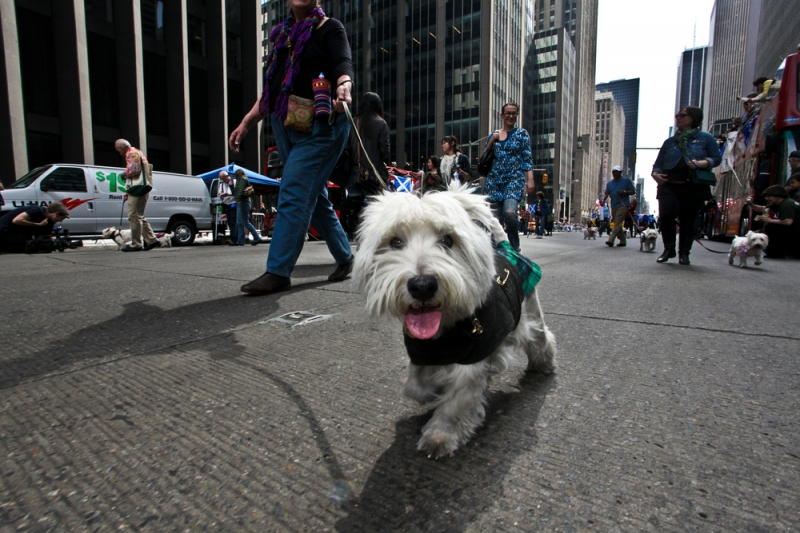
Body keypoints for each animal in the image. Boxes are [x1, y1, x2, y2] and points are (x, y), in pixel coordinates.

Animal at [350, 184, 556, 458]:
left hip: (529, 314)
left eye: (448, 240)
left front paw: (440, 436)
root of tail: (506, 248)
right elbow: (415, 387)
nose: (422, 286)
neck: (446, 330)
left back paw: (544, 365)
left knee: (541, 338)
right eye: (395, 241)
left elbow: (457, 402)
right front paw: (434, 393)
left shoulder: (473, 358)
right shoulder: (421, 351)